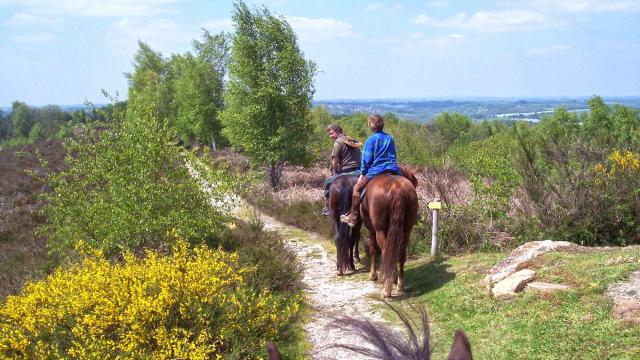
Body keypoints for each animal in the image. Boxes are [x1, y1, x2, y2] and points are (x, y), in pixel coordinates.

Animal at [360, 166, 420, 298]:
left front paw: (373, 274)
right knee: (401, 254)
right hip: (406, 230)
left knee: (385, 253)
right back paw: (400, 285)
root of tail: (395, 187)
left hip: (379, 230)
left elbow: (373, 250)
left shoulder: (371, 229)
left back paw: (386, 289)